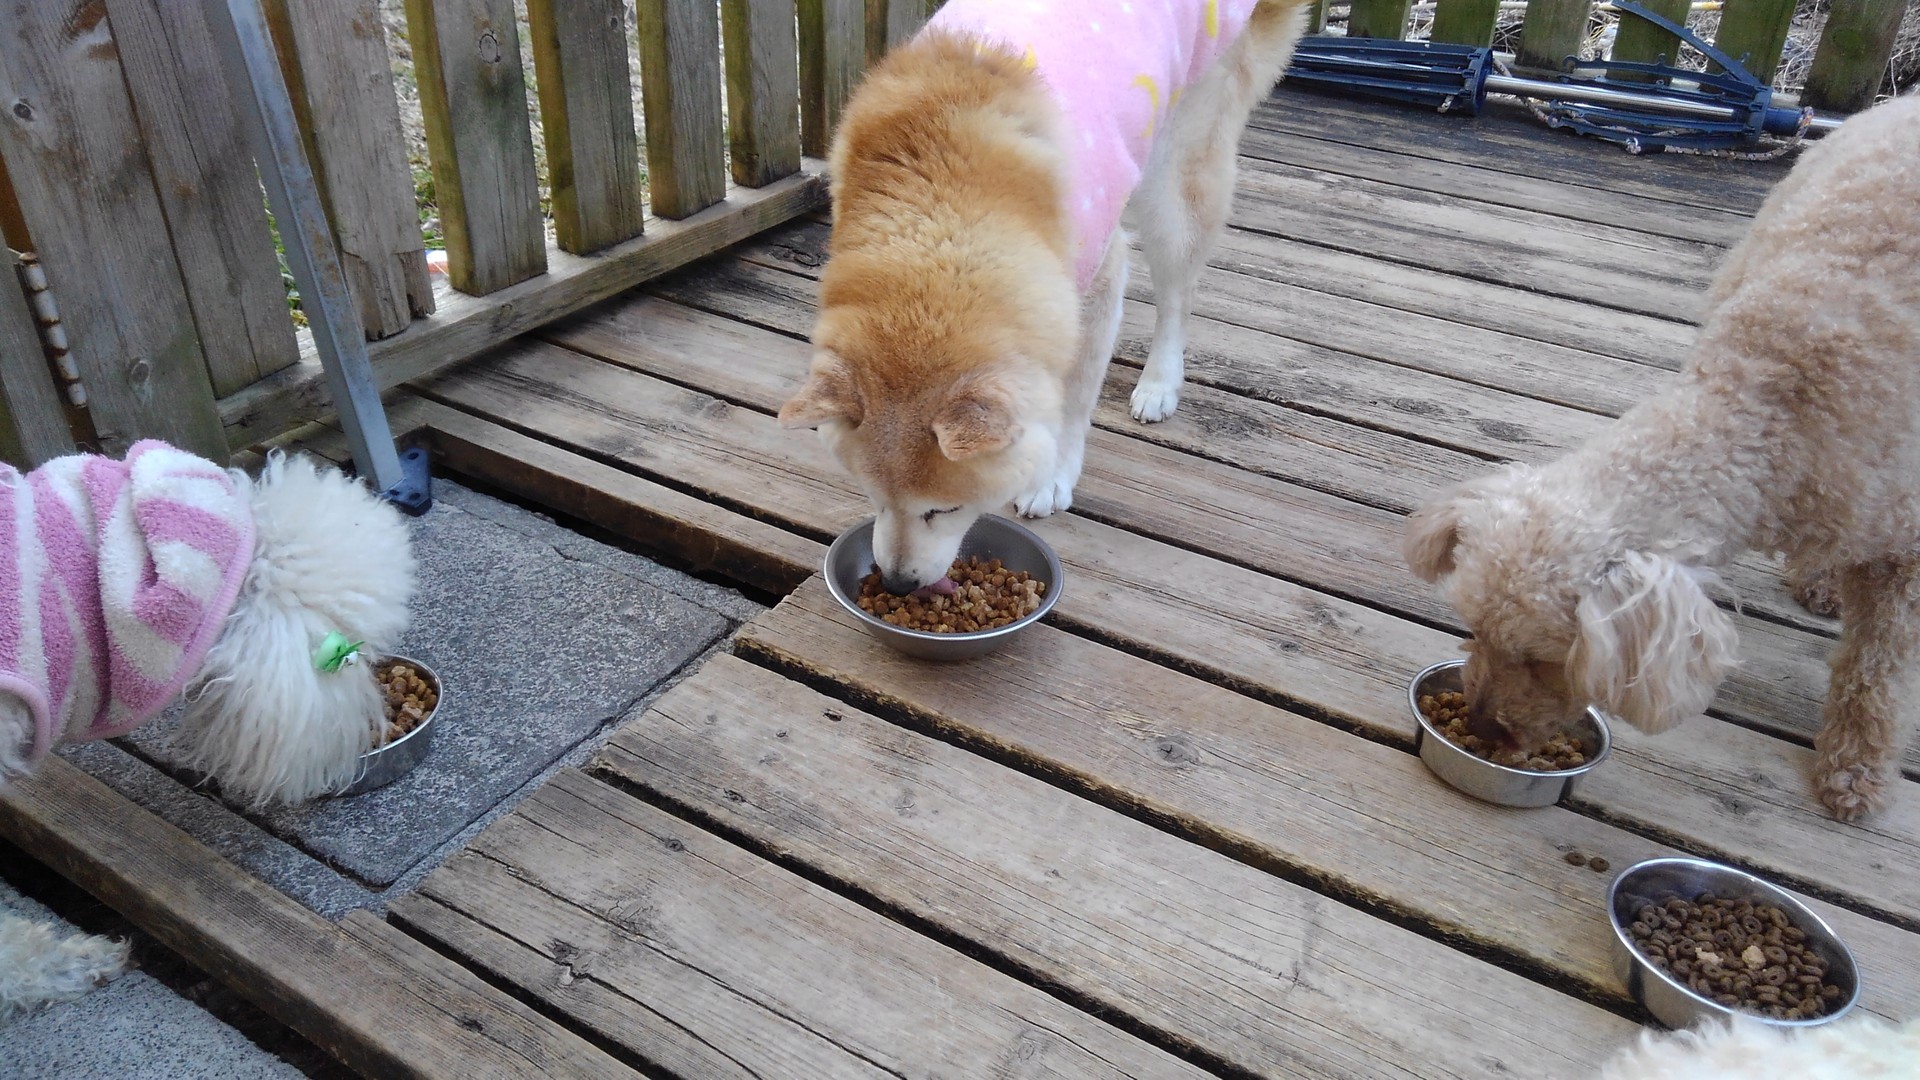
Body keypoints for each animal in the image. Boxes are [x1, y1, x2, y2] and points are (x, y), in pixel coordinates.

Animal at [778, 0, 1314, 594]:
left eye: (943, 509)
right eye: (872, 496)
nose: (896, 584)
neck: (944, 189)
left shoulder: (1094, 280)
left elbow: (1074, 402)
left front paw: (1053, 475)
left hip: (1173, 181)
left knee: (1177, 295)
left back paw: (1159, 383)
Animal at [1402, 91, 1920, 820]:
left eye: (1543, 660)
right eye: (1474, 628)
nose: (1479, 727)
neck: (1770, 400)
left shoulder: (1905, 553)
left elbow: (1876, 673)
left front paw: (1855, 772)